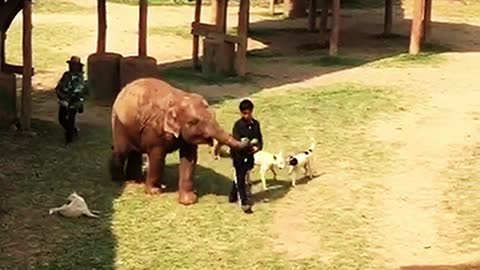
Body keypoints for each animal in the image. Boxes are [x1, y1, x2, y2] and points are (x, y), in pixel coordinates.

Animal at [108, 77, 248, 205]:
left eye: (213, 115)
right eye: (193, 122)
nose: (248, 141)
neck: (179, 98)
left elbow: (189, 158)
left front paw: (189, 201)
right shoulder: (154, 129)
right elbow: (157, 157)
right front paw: (154, 192)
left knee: (134, 152)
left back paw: (135, 181)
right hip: (119, 123)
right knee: (122, 151)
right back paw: (118, 180)